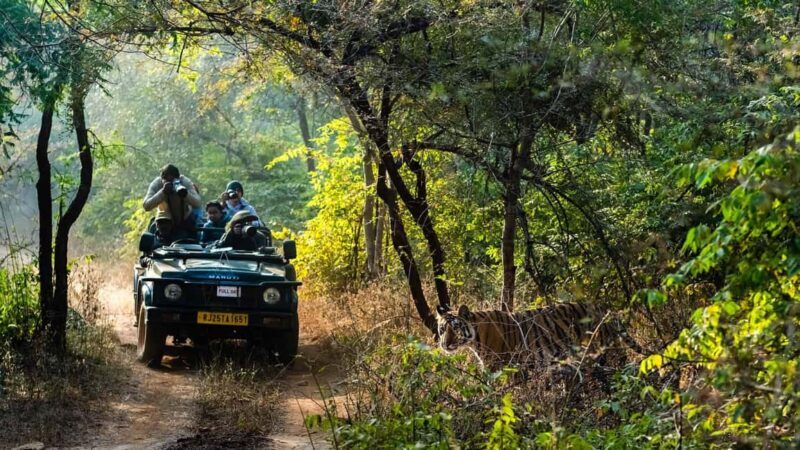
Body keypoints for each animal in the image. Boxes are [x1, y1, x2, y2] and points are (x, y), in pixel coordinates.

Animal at [435, 302, 644, 371]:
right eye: (442, 329)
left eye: (456, 328)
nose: (445, 344)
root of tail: (601, 306)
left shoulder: (502, 368)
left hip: (604, 349)